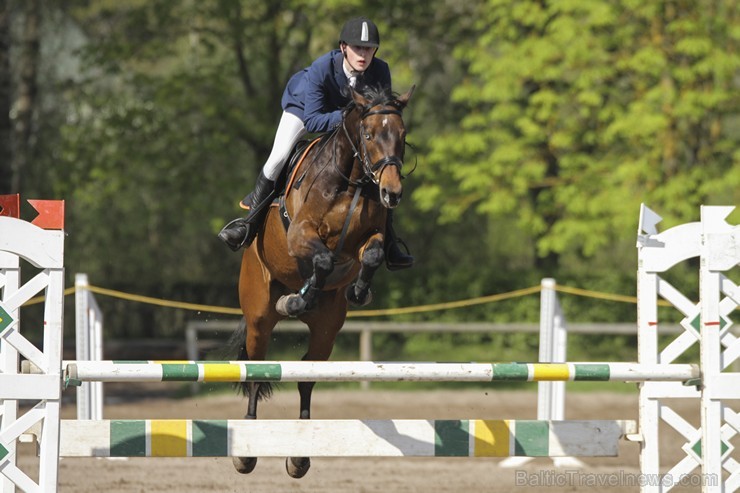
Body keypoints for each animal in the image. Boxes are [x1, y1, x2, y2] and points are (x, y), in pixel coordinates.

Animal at [230, 83, 414, 476]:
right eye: (369, 135)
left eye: (403, 136)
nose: (392, 192)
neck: (352, 181)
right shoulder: (300, 234)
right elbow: (324, 258)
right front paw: (299, 297)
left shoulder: (370, 238)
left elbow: (371, 255)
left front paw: (358, 291)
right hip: (258, 315)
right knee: (257, 368)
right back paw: (247, 450)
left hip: (328, 328)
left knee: (306, 374)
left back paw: (300, 455)